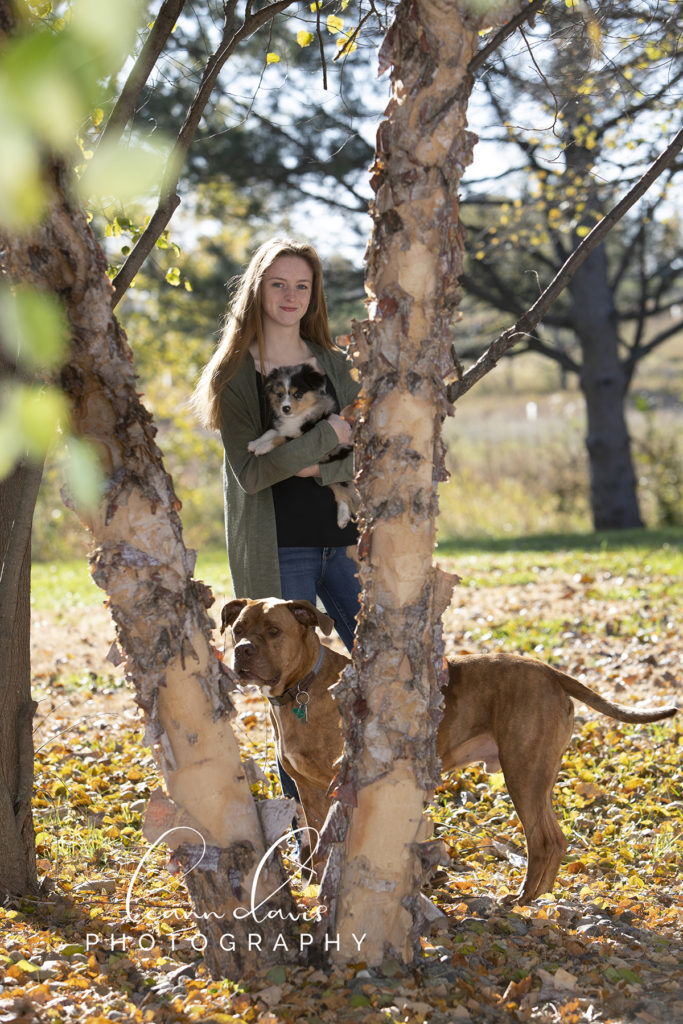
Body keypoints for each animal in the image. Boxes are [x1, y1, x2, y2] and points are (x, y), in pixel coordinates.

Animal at [223, 598, 679, 901]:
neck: (301, 689)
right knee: (555, 838)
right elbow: (316, 842)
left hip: (524, 773)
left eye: (273, 631)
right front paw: (315, 887)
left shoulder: (342, 783)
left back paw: (524, 899)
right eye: (238, 629)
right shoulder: (309, 789)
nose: (242, 651)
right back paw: (539, 895)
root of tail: (550, 671)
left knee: (545, 840)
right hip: (537, 776)